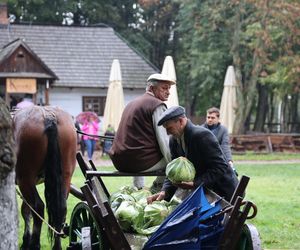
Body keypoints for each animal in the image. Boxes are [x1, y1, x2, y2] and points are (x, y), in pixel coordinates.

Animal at [13, 106, 77, 250]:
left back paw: (34, 244)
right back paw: (56, 245)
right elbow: (26, 210)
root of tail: (48, 115)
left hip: (25, 178)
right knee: (61, 209)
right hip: (65, 176)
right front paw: (25, 240)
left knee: (38, 207)